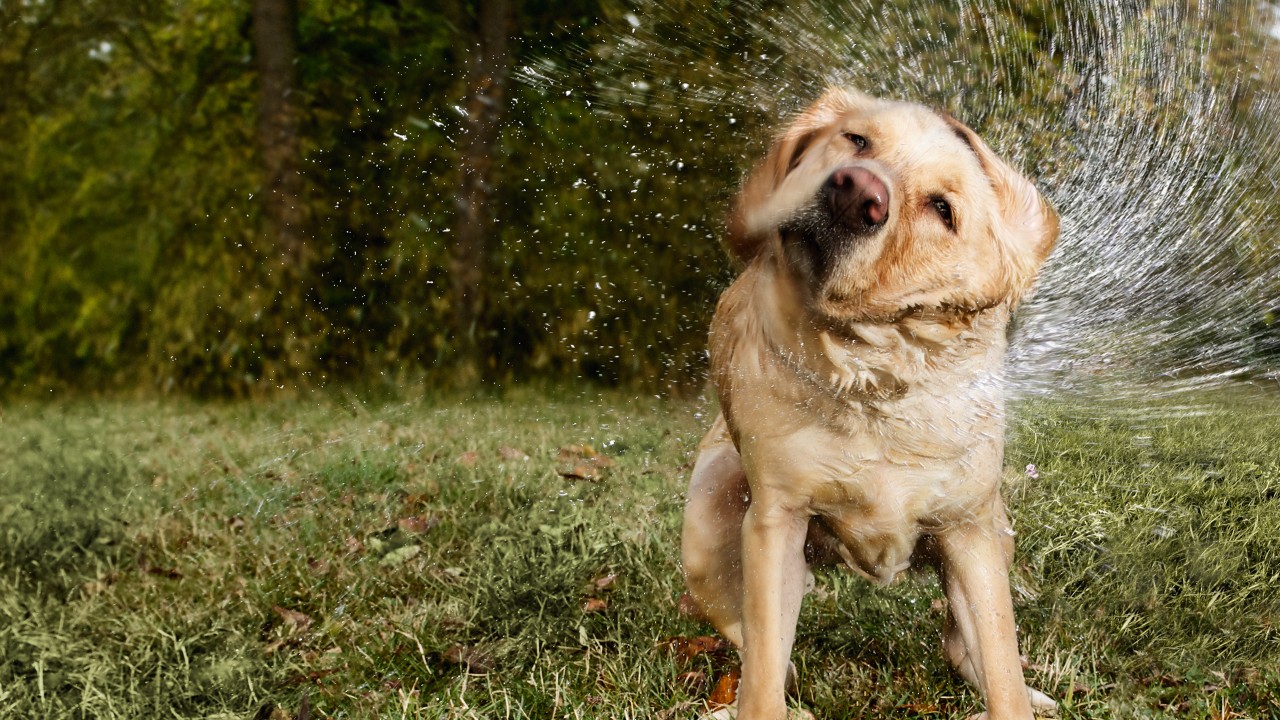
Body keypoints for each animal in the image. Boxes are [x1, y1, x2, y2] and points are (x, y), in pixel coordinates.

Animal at [680, 87, 1059, 712]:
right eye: (857, 140)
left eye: (942, 208)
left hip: (996, 533)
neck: (872, 379)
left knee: (965, 645)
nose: (857, 192)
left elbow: (1002, 664)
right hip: (708, 537)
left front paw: (1014, 695)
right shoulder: (774, 521)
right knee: (764, 654)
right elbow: (762, 671)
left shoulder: (969, 530)